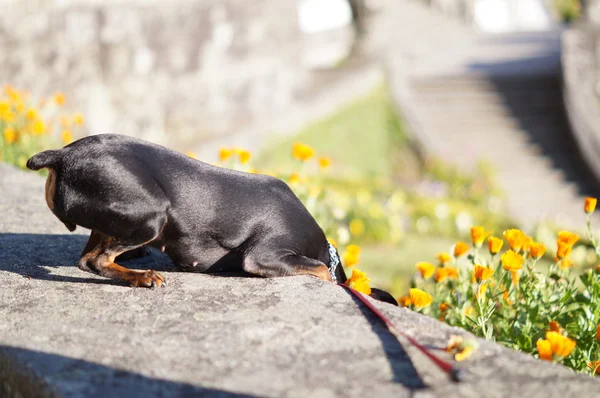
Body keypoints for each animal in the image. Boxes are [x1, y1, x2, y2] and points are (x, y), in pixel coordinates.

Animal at [25, 134, 396, 304]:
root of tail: (63, 155)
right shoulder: (263, 256)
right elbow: (321, 272)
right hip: (153, 215)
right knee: (93, 261)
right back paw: (143, 277)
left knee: (95, 251)